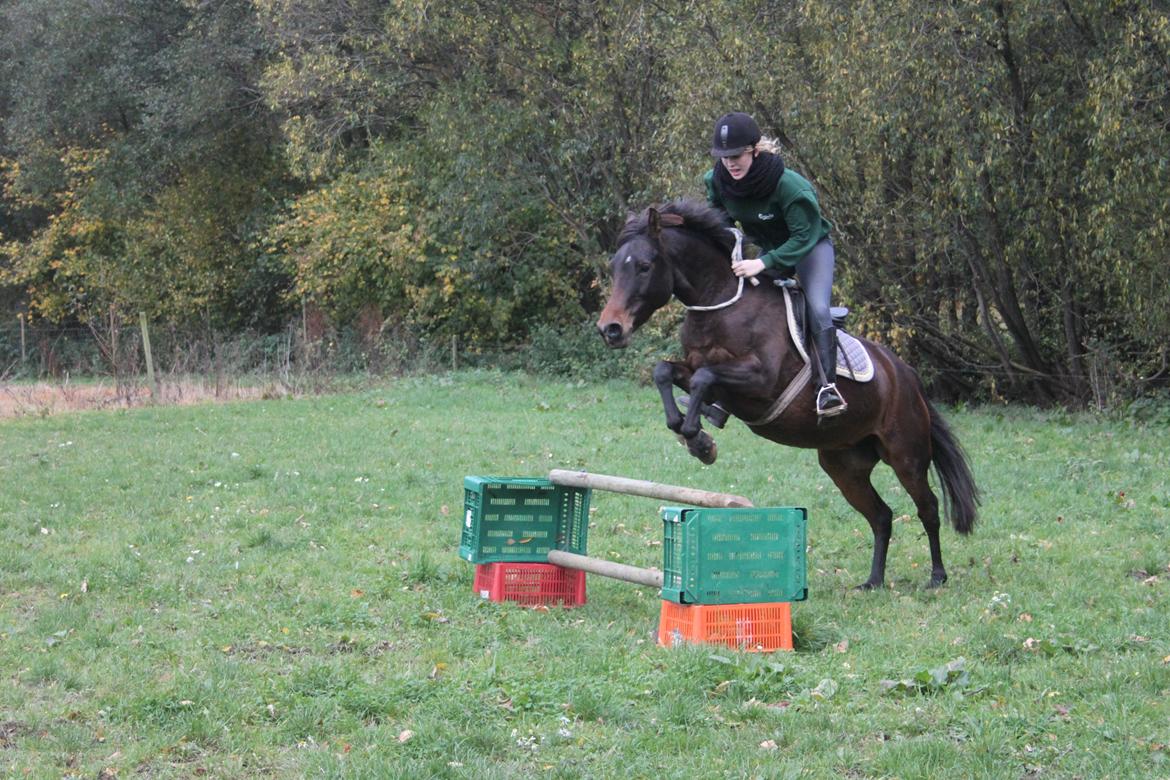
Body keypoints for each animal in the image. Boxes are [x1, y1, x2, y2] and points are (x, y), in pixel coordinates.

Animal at [594, 198, 978, 589]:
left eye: (644, 266)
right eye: (614, 267)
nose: (610, 329)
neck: (721, 303)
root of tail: (908, 377)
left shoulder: (760, 381)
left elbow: (703, 378)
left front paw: (697, 440)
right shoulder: (698, 369)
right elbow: (666, 372)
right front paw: (694, 433)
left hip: (906, 455)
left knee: (928, 508)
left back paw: (937, 576)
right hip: (844, 465)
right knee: (881, 516)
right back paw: (873, 581)